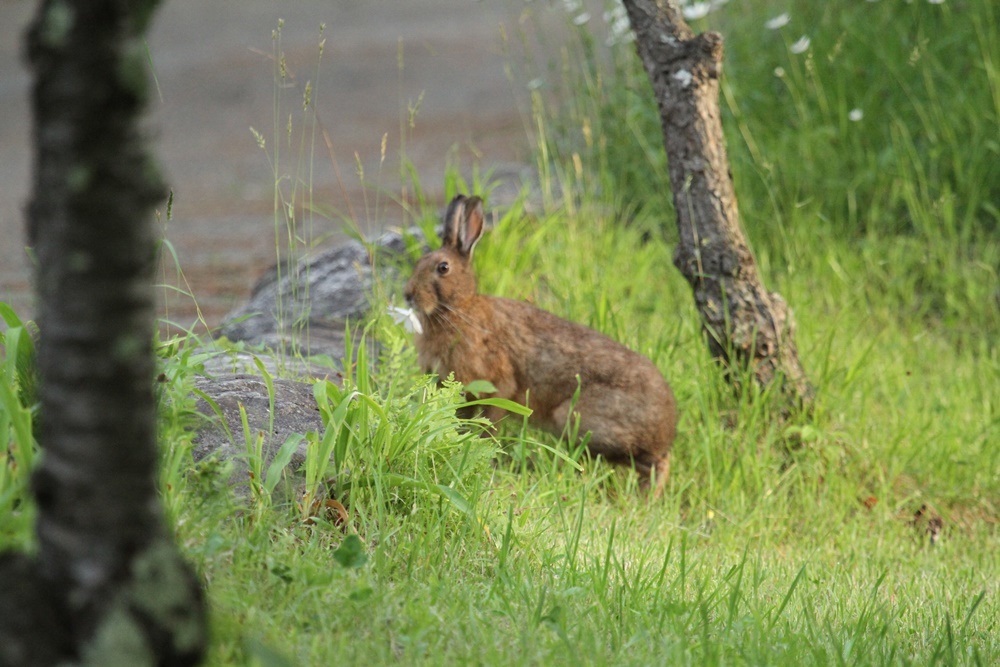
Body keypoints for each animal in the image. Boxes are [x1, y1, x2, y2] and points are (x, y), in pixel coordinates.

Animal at [406, 196, 680, 498]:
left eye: (443, 268)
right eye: (418, 262)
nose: (408, 295)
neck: (458, 309)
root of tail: (667, 426)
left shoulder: (496, 384)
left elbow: (490, 426)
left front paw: (484, 455)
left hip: (581, 421)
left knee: (658, 462)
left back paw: (645, 498)